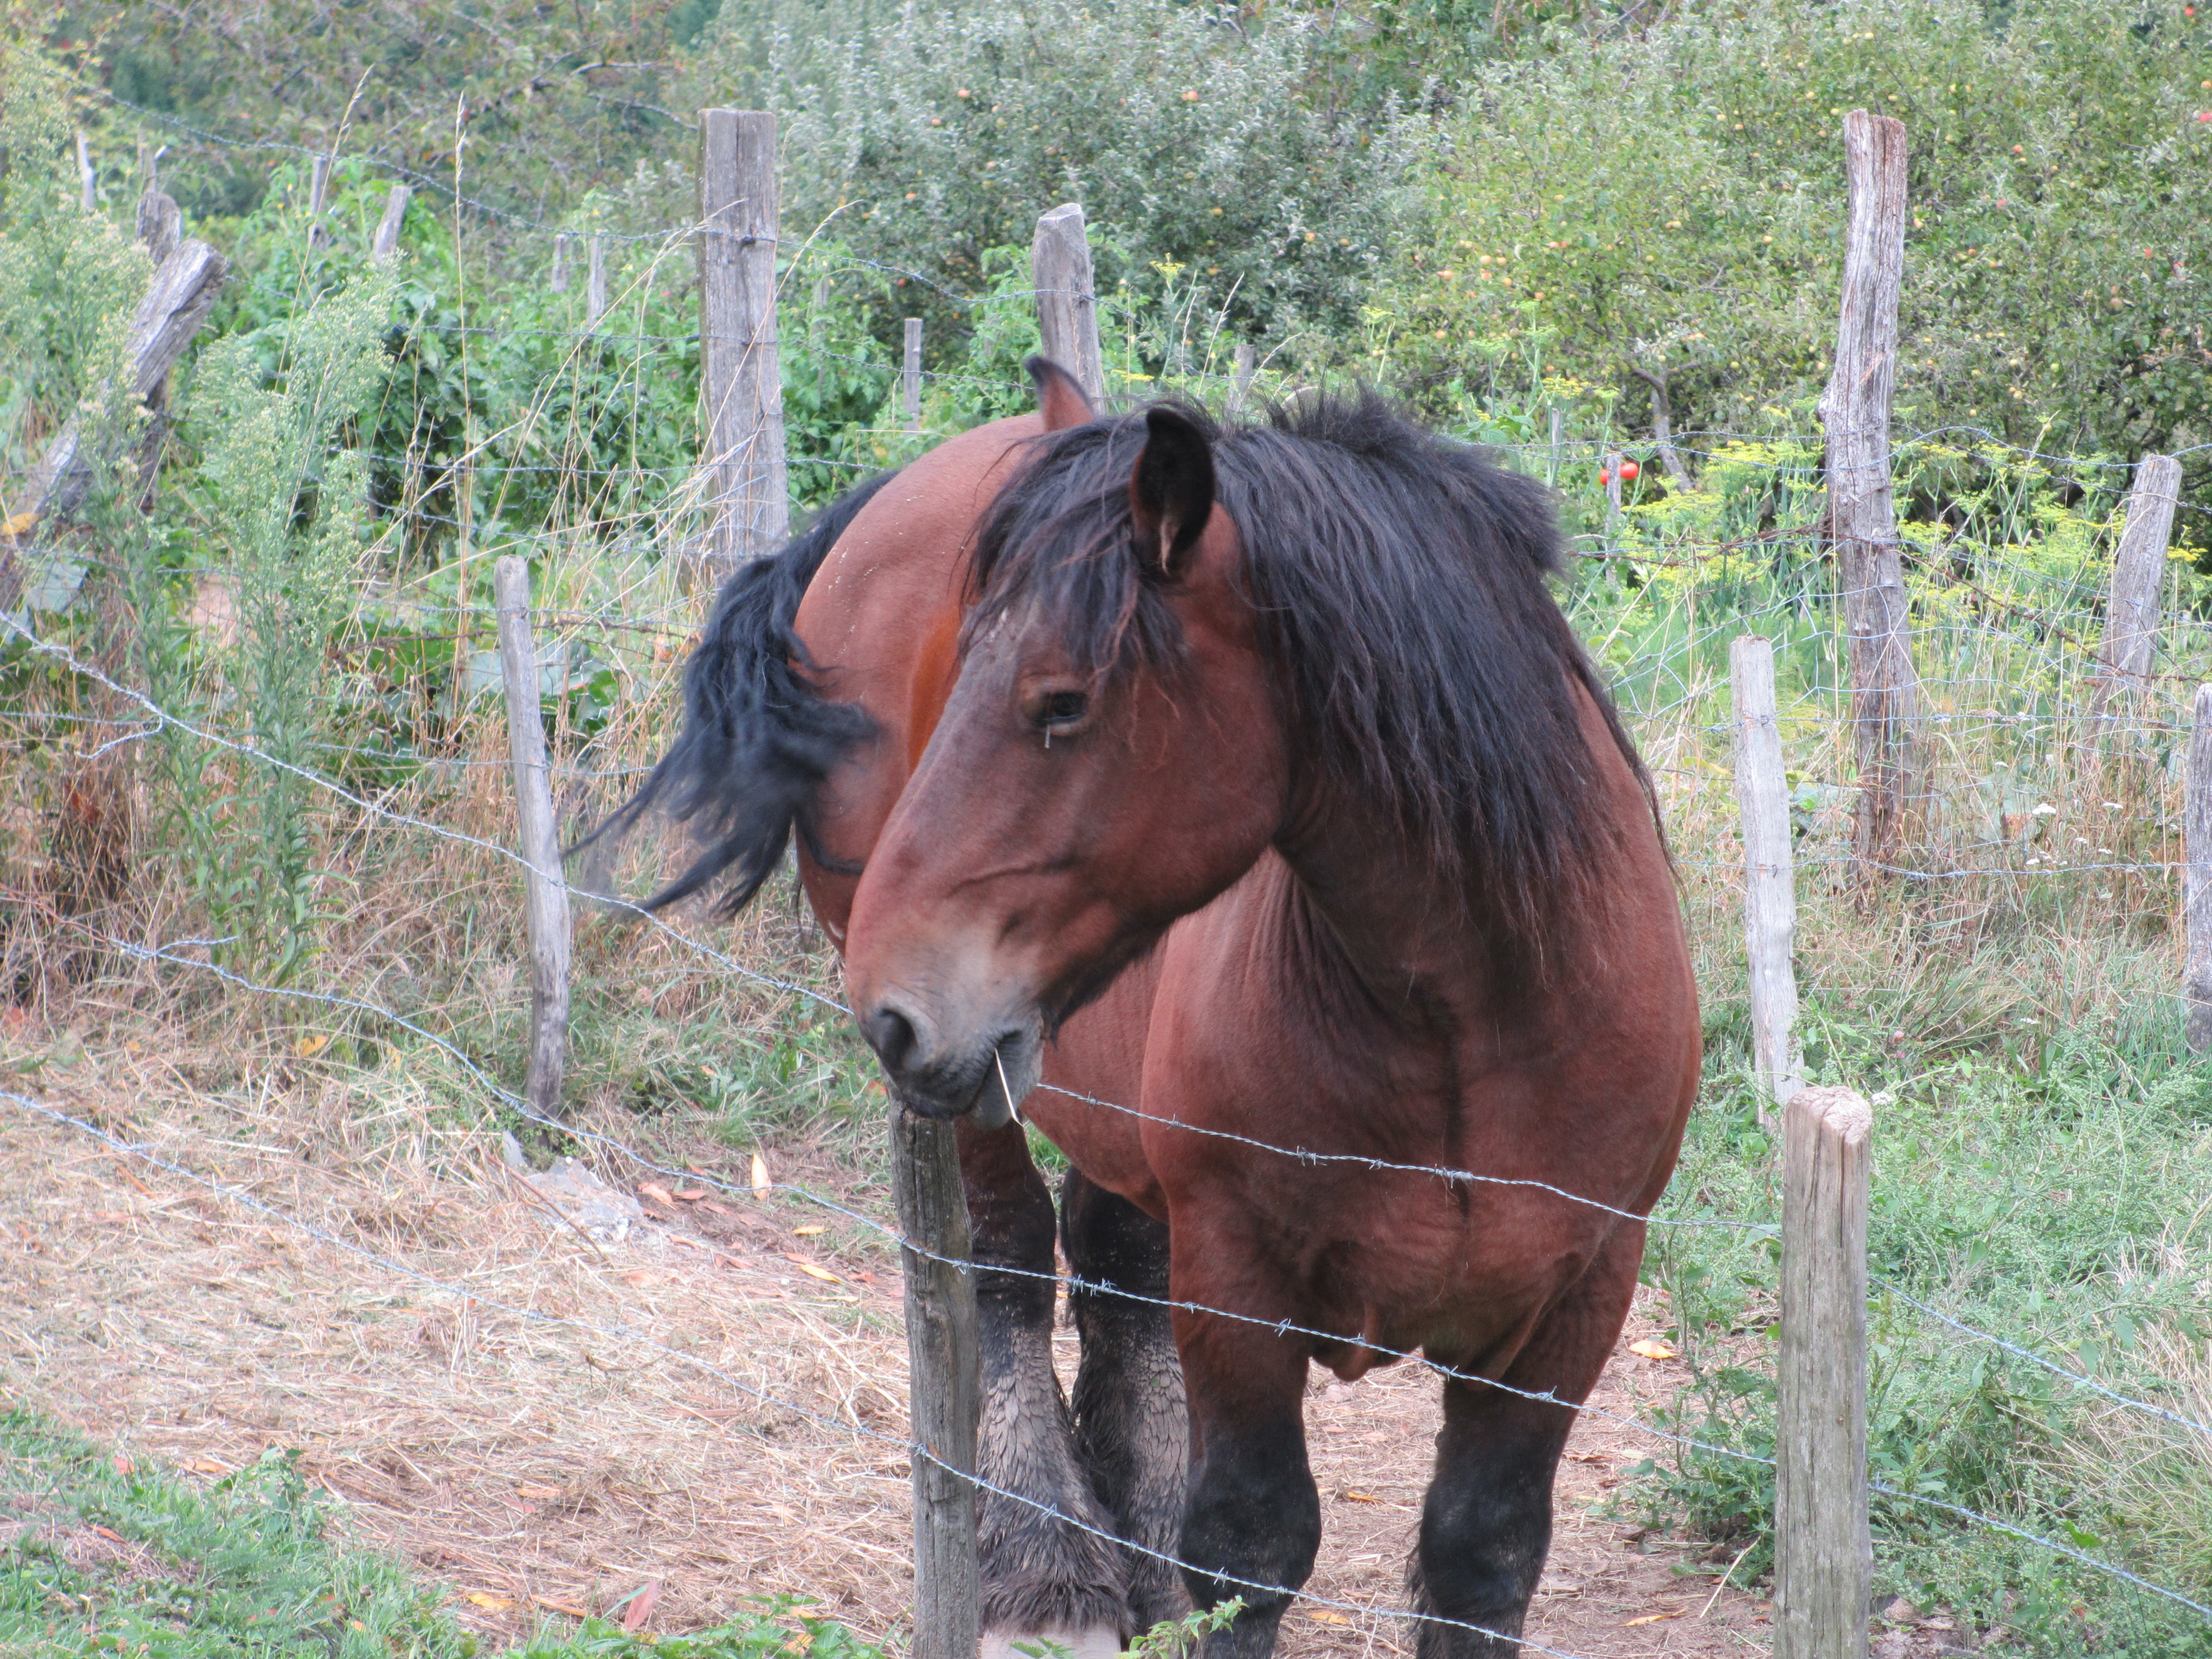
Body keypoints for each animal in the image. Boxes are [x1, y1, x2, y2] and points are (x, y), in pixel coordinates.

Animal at [607, 364, 1699, 1659]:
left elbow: (1480, 1554)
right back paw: (1045, 1561)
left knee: (1114, 1257)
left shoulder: (1574, 1306)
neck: (1466, 1021)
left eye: (1061, 703)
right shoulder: (1238, 1286)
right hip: (980, 1085)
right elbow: (1250, 1544)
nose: (891, 1000)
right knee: (1007, 1265)